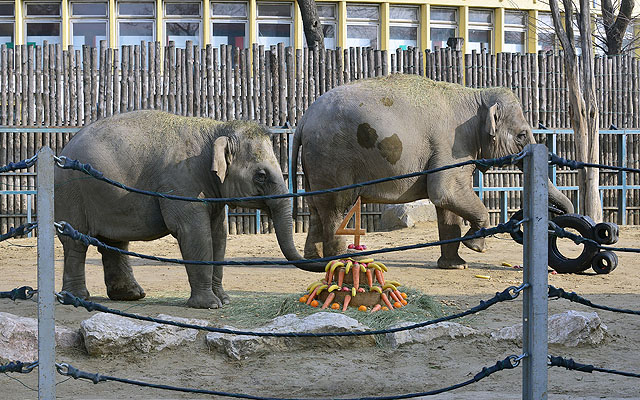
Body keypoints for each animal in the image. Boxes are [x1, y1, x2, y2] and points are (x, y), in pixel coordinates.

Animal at [55, 110, 324, 310]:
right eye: (261, 175)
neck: (217, 130)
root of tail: (62, 150)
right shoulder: (181, 183)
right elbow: (195, 233)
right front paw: (210, 305)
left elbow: (219, 235)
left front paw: (224, 300)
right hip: (72, 194)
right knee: (76, 242)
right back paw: (77, 298)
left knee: (114, 243)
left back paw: (131, 295)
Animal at [292, 74, 576, 270]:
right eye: (522, 135)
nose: (561, 215)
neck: (476, 95)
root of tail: (304, 119)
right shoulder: (452, 145)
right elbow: (444, 191)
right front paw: (476, 246)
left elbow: (446, 204)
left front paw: (457, 266)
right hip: (333, 156)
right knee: (336, 206)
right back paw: (345, 261)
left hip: (315, 162)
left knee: (316, 207)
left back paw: (314, 262)